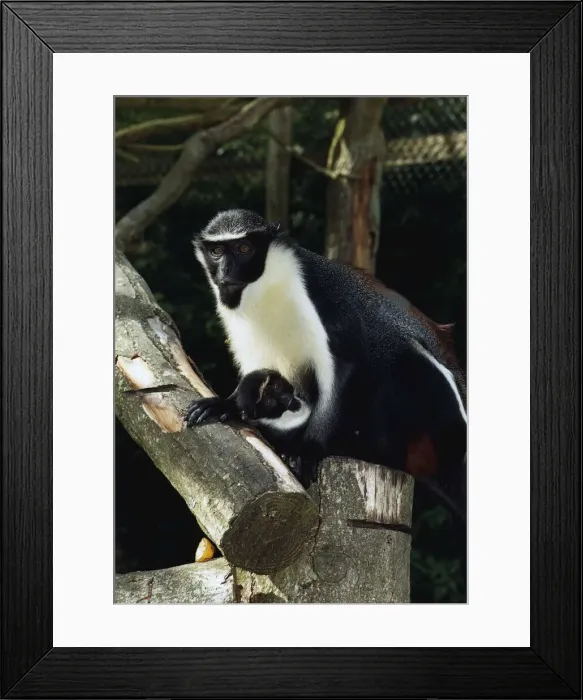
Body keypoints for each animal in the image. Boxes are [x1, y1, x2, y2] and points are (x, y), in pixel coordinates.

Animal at [185, 209, 467, 518]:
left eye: (244, 248)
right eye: (217, 251)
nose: (225, 272)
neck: (267, 286)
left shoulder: (323, 302)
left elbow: (344, 368)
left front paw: (308, 450)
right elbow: (255, 379)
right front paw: (228, 405)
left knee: (404, 355)